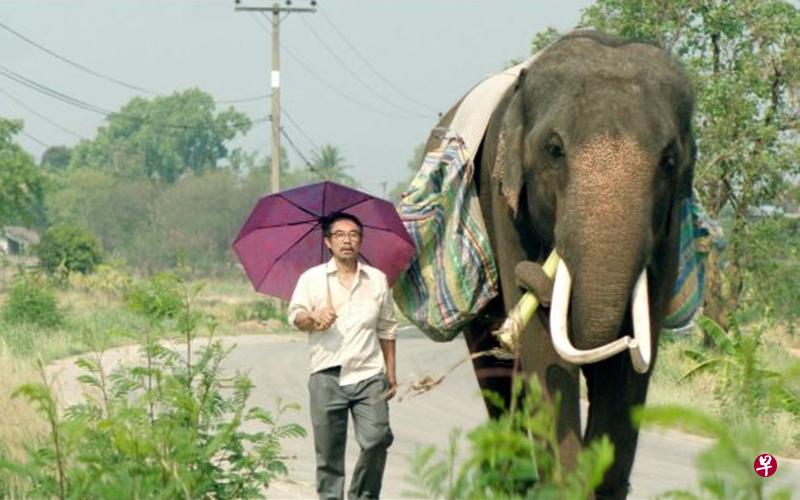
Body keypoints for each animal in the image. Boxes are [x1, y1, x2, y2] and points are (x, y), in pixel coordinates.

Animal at [446, 31, 696, 500]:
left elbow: (632, 362)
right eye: (554, 150)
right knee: (497, 373)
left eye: (669, 160)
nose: (532, 279)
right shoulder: (502, 194)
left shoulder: (669, 225)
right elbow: (543, 354)